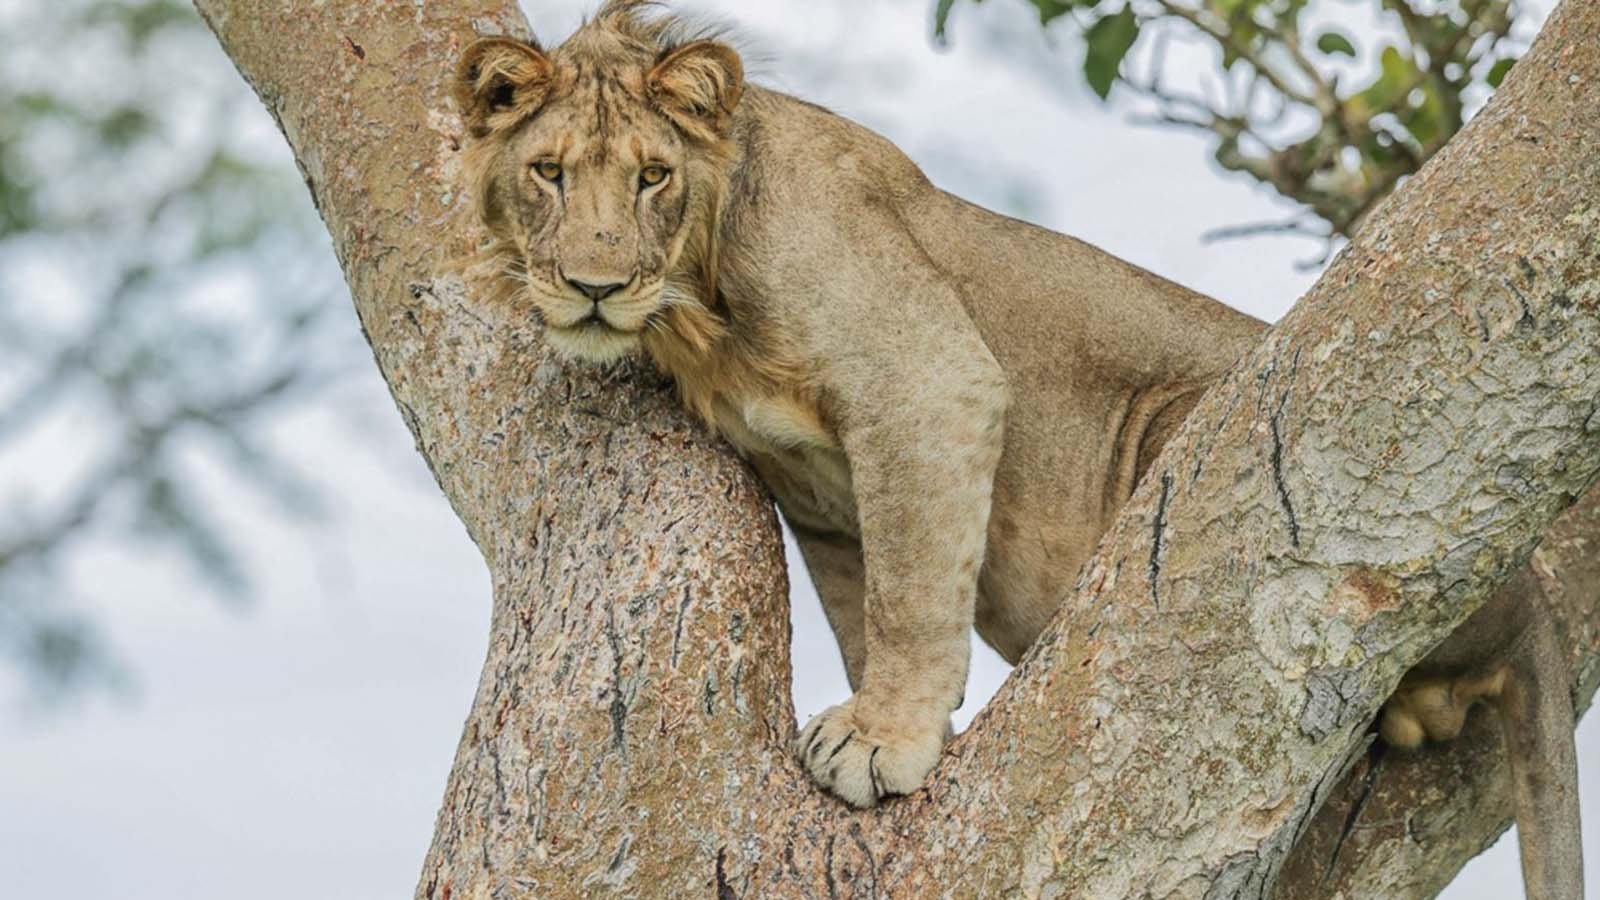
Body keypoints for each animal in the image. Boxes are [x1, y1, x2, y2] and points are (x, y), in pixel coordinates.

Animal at [457, 1, 1580, 890]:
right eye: (548, 174)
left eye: (652, 177)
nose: (594, 284)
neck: (696, 307)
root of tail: (1535, 590)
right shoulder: (819, 500)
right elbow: (869, 604)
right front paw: (905, 723)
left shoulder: (925, 379)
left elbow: (912, 594)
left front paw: (883, 740)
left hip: (1188, 426)